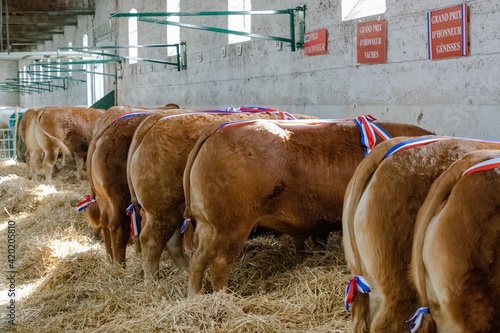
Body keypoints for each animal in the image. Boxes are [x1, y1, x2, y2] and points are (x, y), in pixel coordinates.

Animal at [83, 104, 183, 264]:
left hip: (103, 197)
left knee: (105, 223)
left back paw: (110, 259)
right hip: (120, 197)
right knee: (119, 227)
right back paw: (119, 266)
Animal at [128, 109, 316, 280]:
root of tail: (154, 122)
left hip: (171, 208)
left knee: (171, 241)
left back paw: (184, 272)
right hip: (161, 207)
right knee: (151, 240)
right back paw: (152, 282)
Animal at [182, 118, 432, 294]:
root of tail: (217, 129)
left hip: (208, 225)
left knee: (198, 260)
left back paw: (195, 296)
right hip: (232, 227)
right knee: (220, 263)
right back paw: (223, 298)